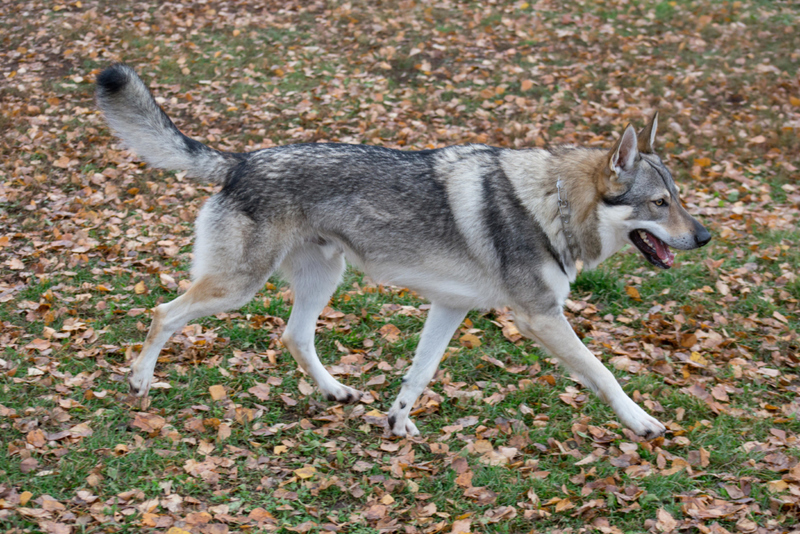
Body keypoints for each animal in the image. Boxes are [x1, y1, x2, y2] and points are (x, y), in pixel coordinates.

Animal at [97, 63, 708, 440]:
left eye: (679, 198)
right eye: (658, 204)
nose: (704, 237)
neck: (551, 205)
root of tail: (241, 160)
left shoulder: (451, 307)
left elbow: (419, 374)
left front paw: (397, 424)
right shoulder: (540, 318)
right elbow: (604, 373)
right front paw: (643, 423)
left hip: (323, 279)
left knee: (294, 337)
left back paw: (335, 391)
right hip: (237, 289)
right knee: (163, 313)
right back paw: (140, 382)